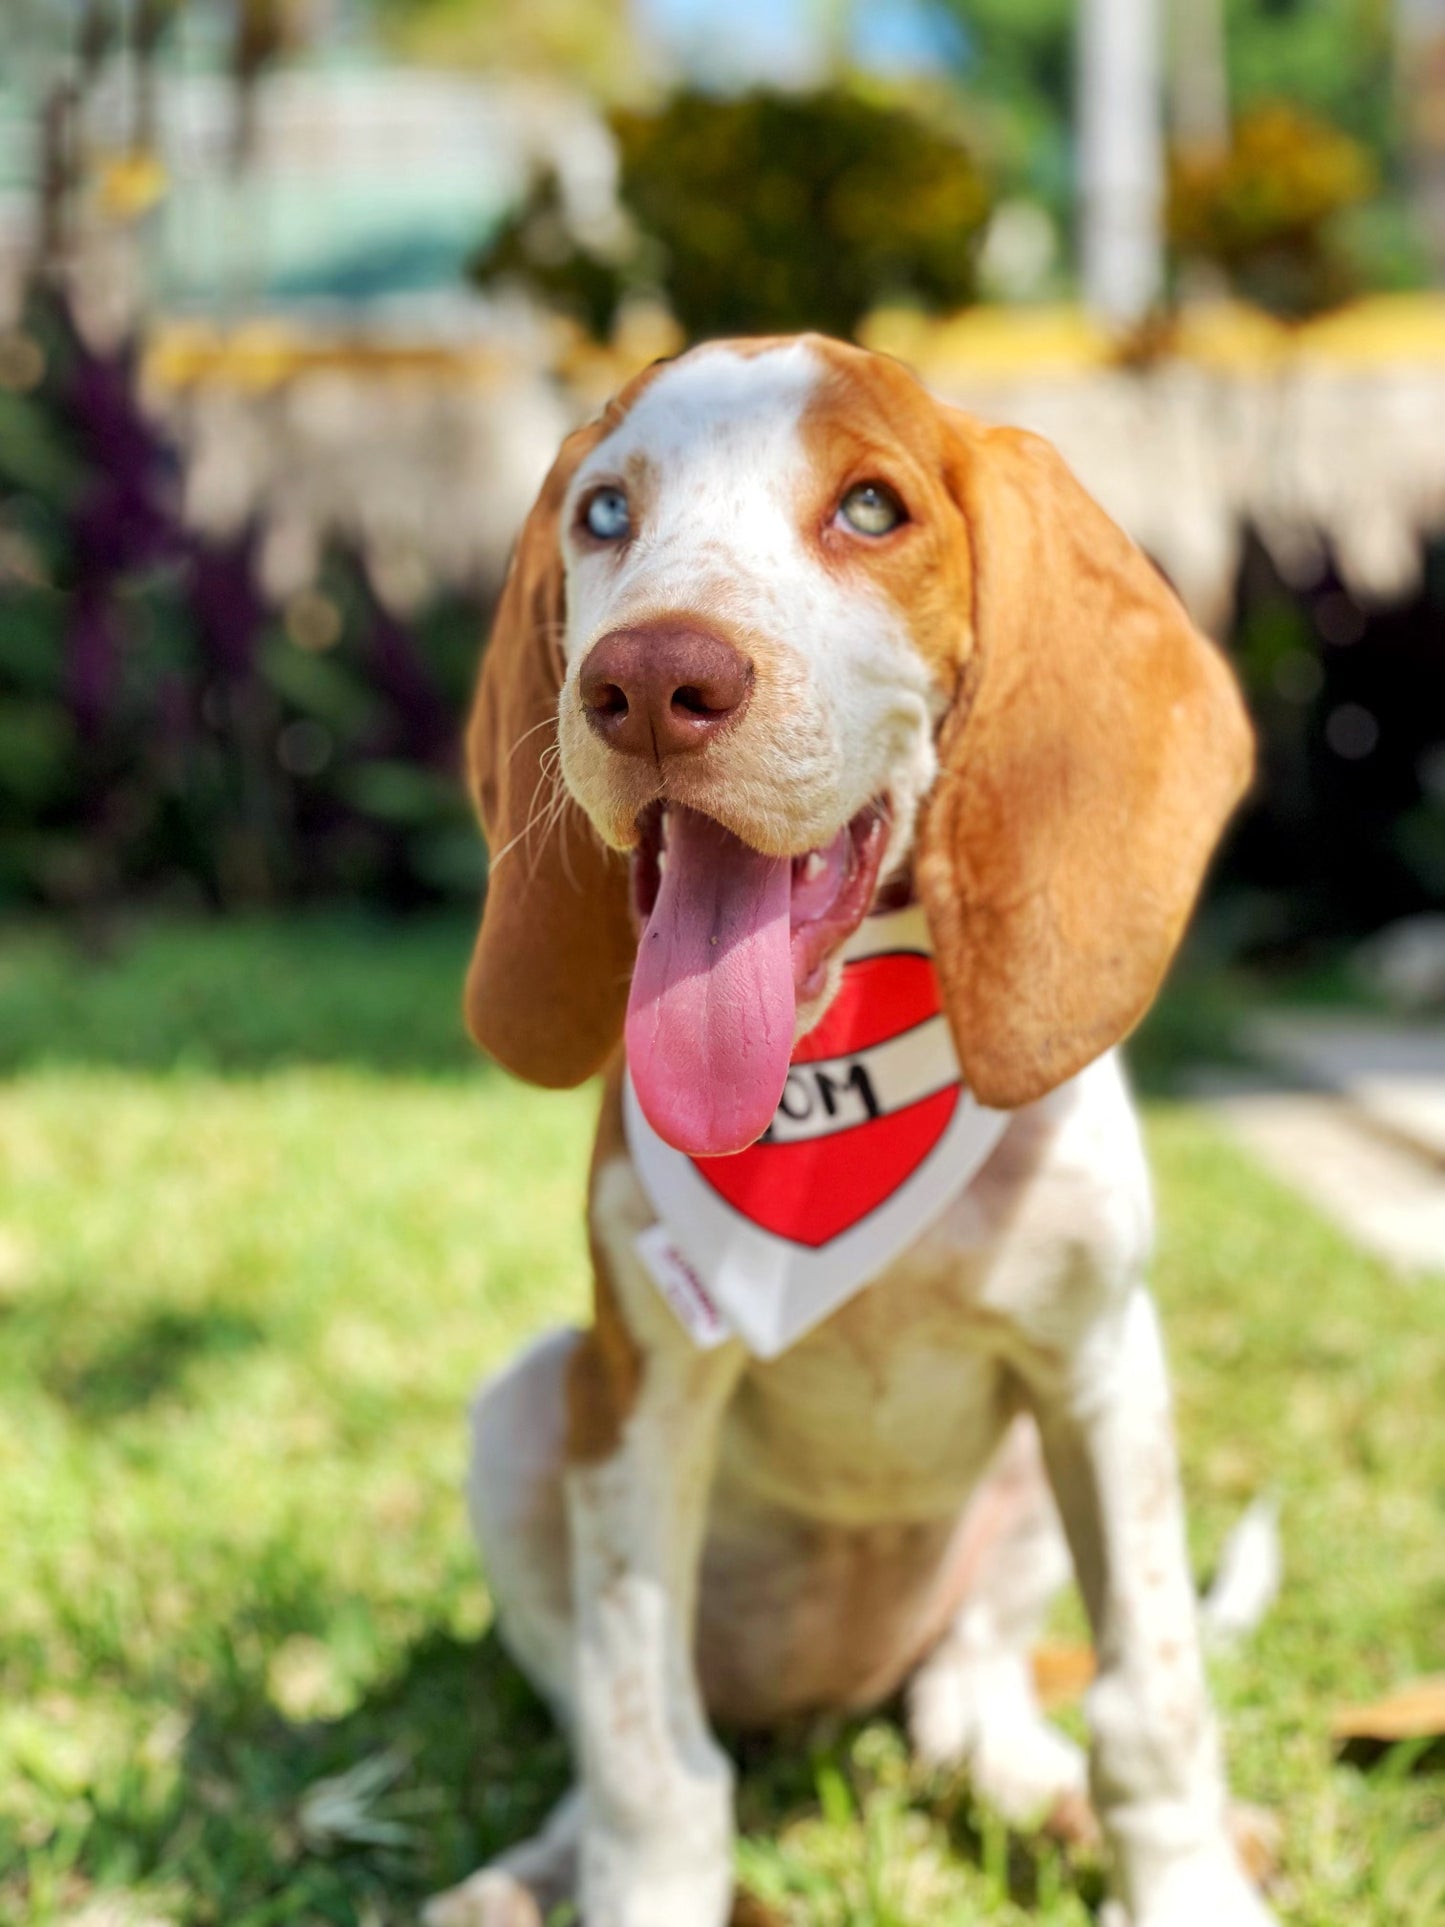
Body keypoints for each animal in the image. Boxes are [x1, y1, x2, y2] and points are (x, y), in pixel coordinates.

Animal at [429, 335, 1279, 1927]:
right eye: (605, 513)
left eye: (872, 508)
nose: (650, 679)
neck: (842, 1082)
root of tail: (834, 1695)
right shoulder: (641, 1394)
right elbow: (649, 1761)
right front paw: (632, 1878)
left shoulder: (1099, 1366)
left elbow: (1150, 1698)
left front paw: (1186, 1883)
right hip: (527, 1409)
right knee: (606, 1722)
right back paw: (534, 1867)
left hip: (1029, 1484)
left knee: (968, 1694)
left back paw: (1032, 1782)